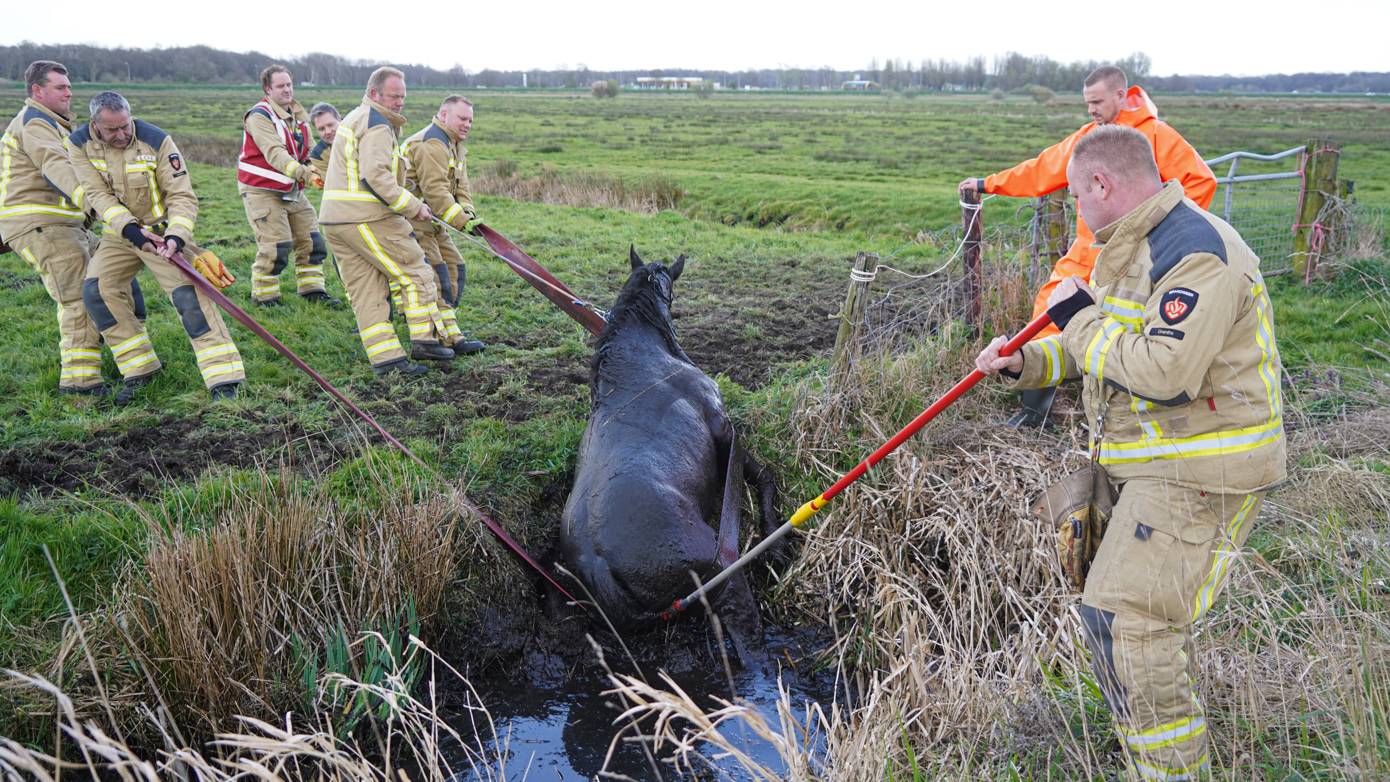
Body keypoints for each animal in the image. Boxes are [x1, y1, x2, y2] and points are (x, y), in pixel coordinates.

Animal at [561, 250, 783, 655]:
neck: (643, 355)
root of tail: (600, 570)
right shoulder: (724, 427)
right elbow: (762, 476)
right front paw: (776, 542)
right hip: (724, 574)